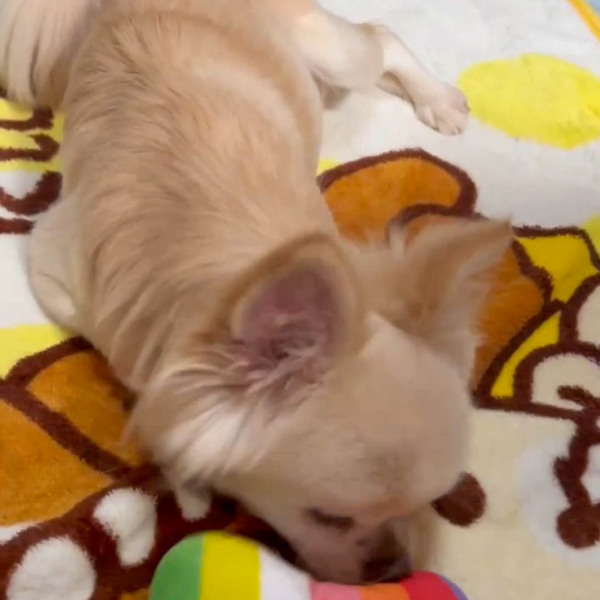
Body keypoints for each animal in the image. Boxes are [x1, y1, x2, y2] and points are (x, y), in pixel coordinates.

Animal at [0, 0, 511, 584]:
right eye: (330, 517)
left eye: (426, 505)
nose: (396, 570)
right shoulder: (51, 266)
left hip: (331, 55)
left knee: (379, 37)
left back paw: (436, 98)